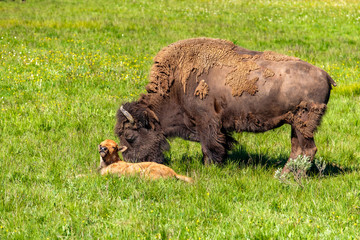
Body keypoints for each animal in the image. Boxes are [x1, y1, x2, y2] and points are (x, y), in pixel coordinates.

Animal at [114, 37, 334, 171]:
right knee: (297, 149)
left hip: (303, 124)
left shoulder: (206, 122)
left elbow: (210, 146)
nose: (131, 163)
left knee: (307, 150)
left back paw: (291, 176)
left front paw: (209, 167)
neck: (177, 86)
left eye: (130, 136)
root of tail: (325, 75)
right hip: (295, 126)